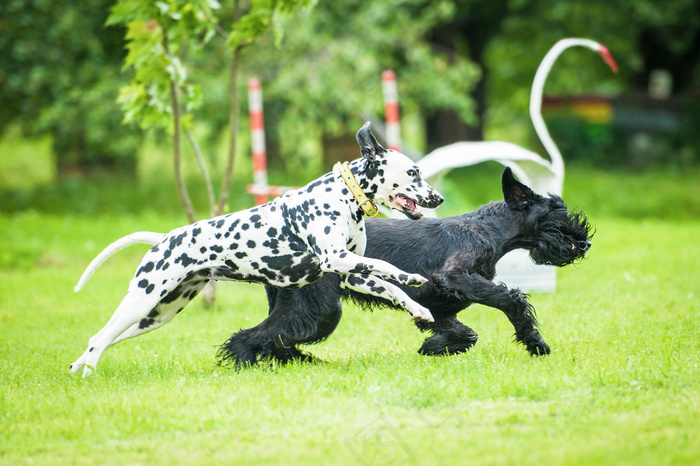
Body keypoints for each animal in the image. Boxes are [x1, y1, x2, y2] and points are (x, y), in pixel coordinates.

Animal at [71, 122, 442, 376]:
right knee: (99, 339)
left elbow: (391, 288)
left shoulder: (353, 273)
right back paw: (88, 374)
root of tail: (164, 238)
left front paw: (418, 307)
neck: (343, 195)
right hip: (141, 300)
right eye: (413, 172)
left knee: (100, 340)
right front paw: (411, 276)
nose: (438, 198)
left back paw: (77, 368)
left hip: (157, 314)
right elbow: (389, 268)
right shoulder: (338, 259)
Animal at [219, 168, 592, 368]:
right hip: (318, 310)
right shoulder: (456, 275)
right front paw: (535, 342)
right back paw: (244, 361)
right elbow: (511, 300)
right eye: (556, 213)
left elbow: (464, 333)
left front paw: (434, 347)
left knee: (276, 338)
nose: (584, 243)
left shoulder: (439, 306)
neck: (489, 229)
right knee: (254, 336)